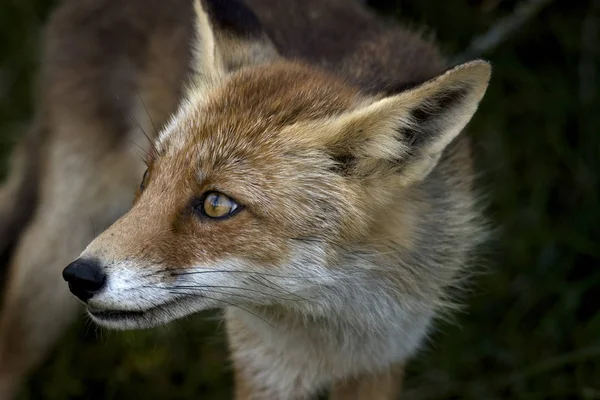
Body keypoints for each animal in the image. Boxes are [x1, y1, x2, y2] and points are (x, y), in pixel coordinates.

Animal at [0, 0, 488, 396]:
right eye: (149, 176)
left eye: (217, 204)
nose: (80, 276)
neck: (332, 320)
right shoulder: (264, 368)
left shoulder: (382, 361)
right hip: (59, 245)